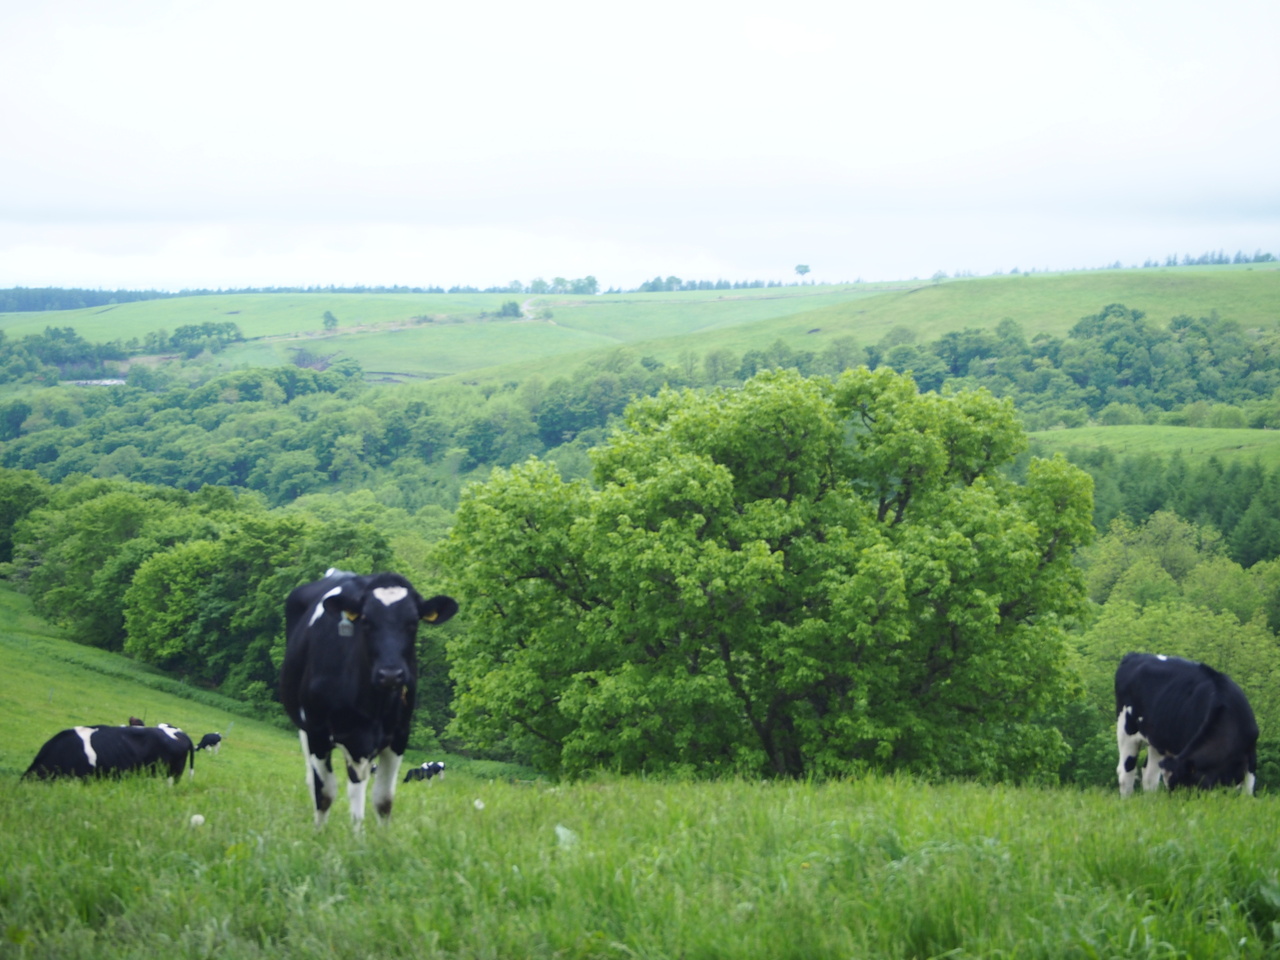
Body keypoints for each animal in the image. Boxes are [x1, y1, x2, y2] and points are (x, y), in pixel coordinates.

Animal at [280, 568, 458, 827]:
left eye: (413, 623)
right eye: (365, 621)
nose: (390, 674)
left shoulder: (398, 737)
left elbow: (383, 801)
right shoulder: (319, 734)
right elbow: (325, 794)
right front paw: (321, 834)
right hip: (308, 729)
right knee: (317, 781)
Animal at [1115, 652, 1258, 796]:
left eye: (1187, 785)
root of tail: (1135, 655)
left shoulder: (1251, 756)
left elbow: (1248, 790)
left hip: (1158, 740)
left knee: (1149, 775)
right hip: (1125, 730)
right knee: (1125, 773)